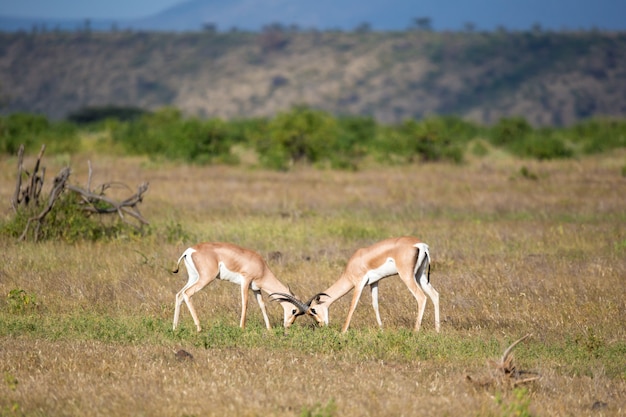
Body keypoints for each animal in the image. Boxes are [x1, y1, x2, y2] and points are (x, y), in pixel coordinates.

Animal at [171, 240, 308, 332]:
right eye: (294, 310)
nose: (288, 325)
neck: (261, 266)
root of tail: (189, 251)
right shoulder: (245, 281)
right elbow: (245, 303)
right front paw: (242, 327)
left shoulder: (256, 289)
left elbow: (262, 306)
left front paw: (269, 329)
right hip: (205, 278)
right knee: (187, 293)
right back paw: (199, 328)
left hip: (194, 277)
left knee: (179, 294)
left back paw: (174, 327)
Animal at [272, 237, 438, 332]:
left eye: (313, 310)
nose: (321, 325)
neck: (354, 263)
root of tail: (420, 245)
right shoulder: (374, 282)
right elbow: (375, 304)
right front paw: (381, 329)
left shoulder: (359, 283)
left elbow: (353, 306)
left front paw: (343, 332)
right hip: (420, 275)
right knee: (435, 295)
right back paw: (437, 330)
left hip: (407, 276)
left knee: (421, 297)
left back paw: (415, 331)